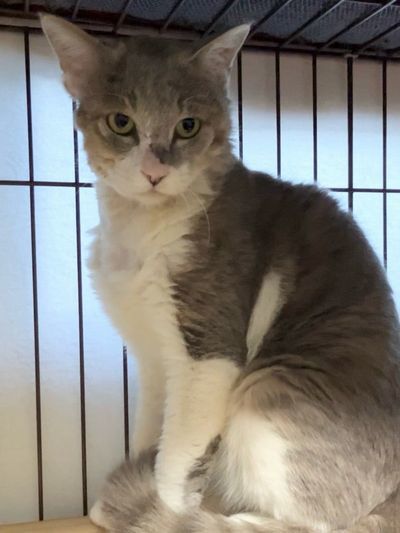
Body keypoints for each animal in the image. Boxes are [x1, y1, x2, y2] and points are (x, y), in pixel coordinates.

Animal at [41, 14, 400, 533]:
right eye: (121, 123)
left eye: (187, 126)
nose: (154, 171)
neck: (141, 231)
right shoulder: (154, 360)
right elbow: (150, 433)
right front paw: (133, 482)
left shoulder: (208, 352)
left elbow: (174, 459)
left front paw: (161, 508)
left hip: (266, 392)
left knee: (314, 523)